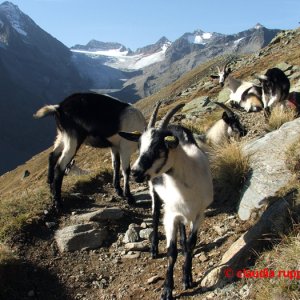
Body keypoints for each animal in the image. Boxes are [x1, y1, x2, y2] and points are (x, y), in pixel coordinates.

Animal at [118, 101, 214, 300]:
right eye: (139, 146)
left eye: (158, 147)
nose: (135, 172)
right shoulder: (170, 216)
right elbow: (171, 252)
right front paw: (167, 290)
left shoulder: (199, 213)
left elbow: (191, 244)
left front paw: (187, 277)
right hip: (154, 191)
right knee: (155, 215)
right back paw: (154, 248)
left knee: (183, 228)